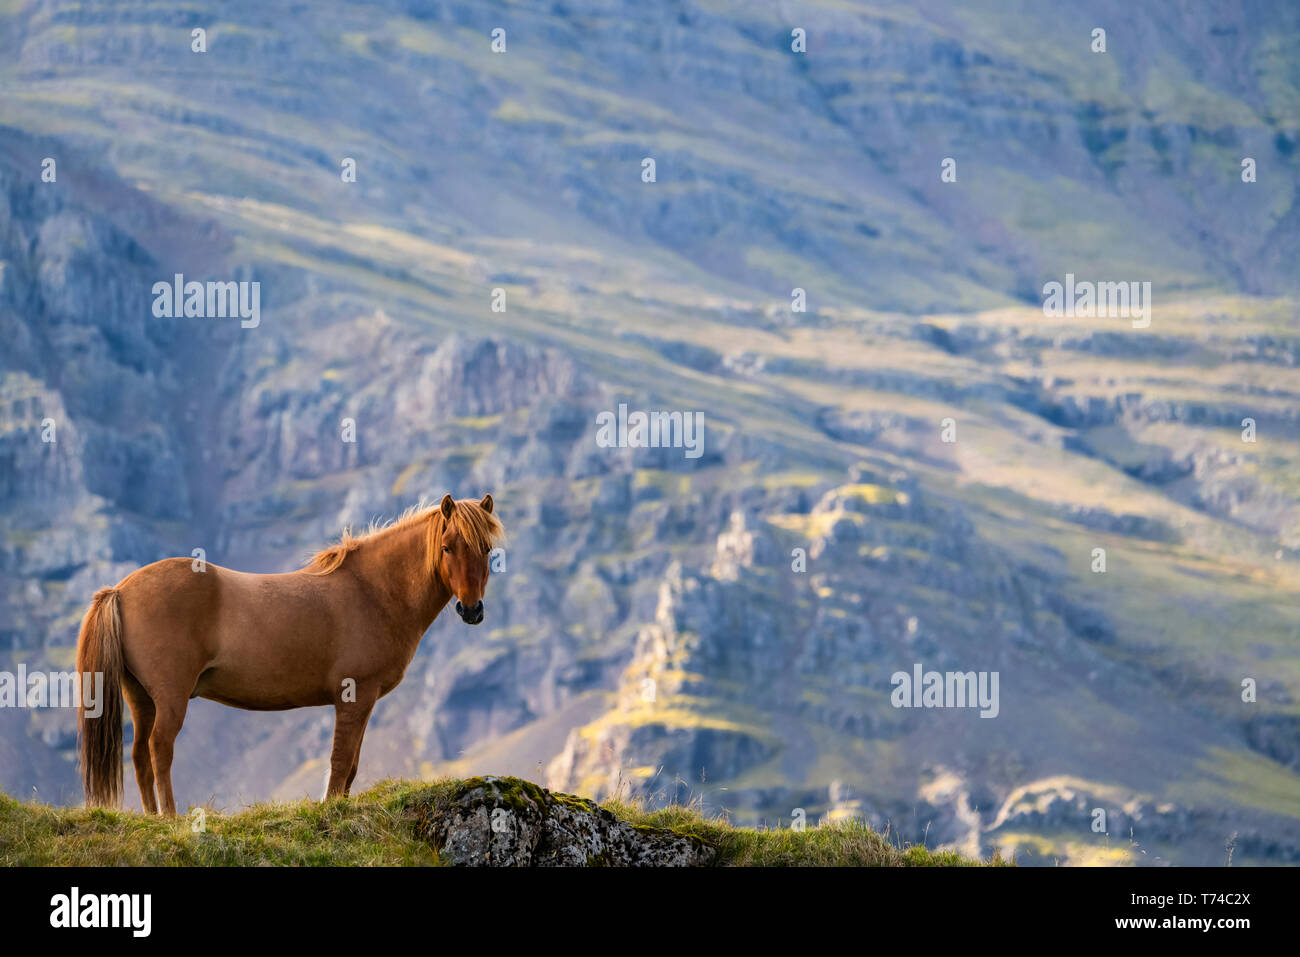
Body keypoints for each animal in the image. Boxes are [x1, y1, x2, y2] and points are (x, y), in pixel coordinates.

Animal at [75, 493, 503, 815]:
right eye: (447, 548)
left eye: (486, 549)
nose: (471, 610)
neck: (373, 591)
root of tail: (120, 589)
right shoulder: (354, 696)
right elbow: (340, 762)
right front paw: (331, 811)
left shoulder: (364, 702)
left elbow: (351, 764)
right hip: (170, 697)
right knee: (159, 750)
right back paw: (172, 818)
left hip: (141, 697)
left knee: (139, 757)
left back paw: (154, 818)